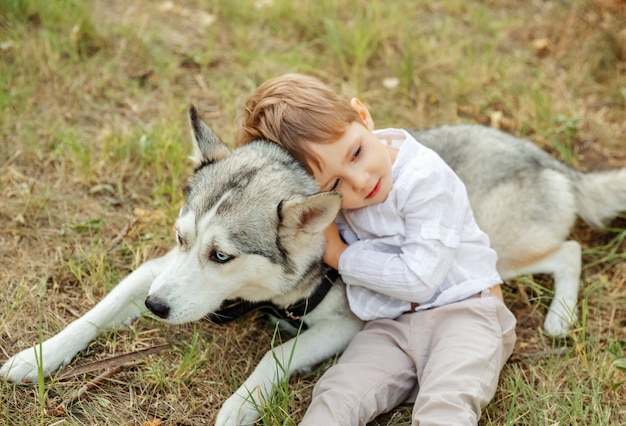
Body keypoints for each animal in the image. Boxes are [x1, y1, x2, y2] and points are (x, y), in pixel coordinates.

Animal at [1, 109, 624, 422]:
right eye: (183, 238)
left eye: (222, 255)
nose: (156, 307)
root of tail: (547, 158)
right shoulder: (158, 267)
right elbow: (97, 310)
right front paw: (37, 357)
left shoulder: (342, 327)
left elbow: (273, 358)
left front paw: (240, 407)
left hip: (497, 249)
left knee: (567, 251)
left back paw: (560, 318)